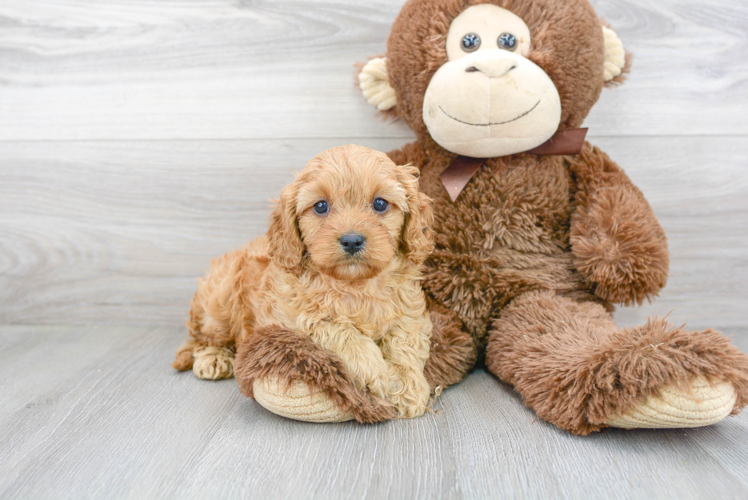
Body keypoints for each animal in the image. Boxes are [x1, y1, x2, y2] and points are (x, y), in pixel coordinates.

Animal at [173, 144, 436, 418]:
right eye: (320, 206)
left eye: (380, 204)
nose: (352, 240)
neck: (354, 283)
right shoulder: (289, 316)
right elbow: (334, 327)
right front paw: (371, 367)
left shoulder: (408, 310)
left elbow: (405, 340)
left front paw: (407, 385)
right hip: (220, 301)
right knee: (203, 338)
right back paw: (212, 358)